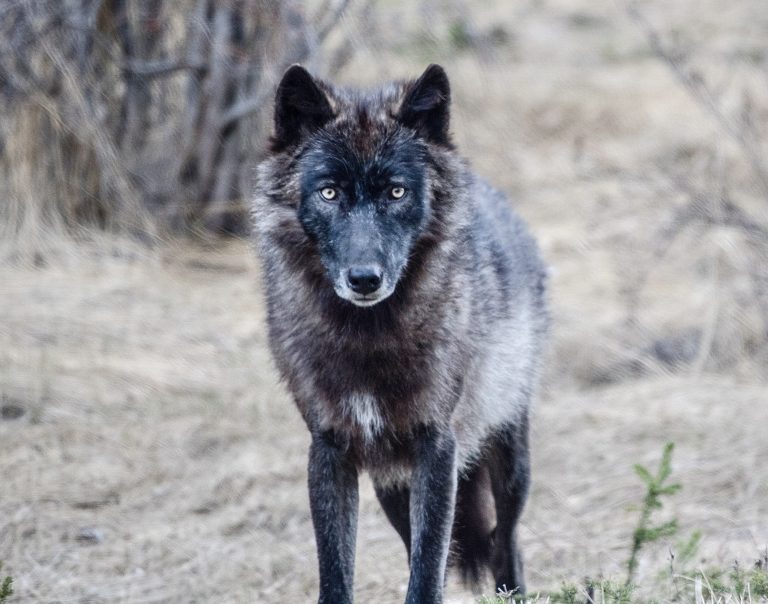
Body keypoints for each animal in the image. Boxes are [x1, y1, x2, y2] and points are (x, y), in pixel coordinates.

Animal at [251, 63, 548, 604]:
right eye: (329, 192)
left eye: (396, 192)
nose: (364, 279)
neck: (367, 340)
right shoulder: (329, 452)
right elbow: (341, 574)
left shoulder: (437, 447)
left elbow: (427, 574)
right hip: (391, 487)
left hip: (511, 462)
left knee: (505, 544)